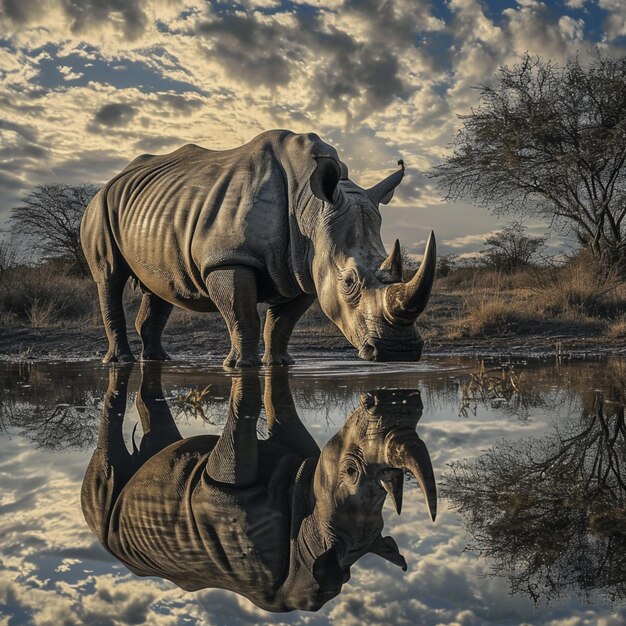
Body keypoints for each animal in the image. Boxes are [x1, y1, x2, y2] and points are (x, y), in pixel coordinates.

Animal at [80, 132, 434, 366]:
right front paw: (240, 366)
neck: (310, 208)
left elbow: (282, 323)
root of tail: (114, 180)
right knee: (108, 277)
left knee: (161, 284)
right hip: (99, 206)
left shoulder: (304, 269)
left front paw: (280, 363)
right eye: (348, 281)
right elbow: (242, 314)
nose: (399, 352)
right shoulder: (229, 259)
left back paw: (159, 360)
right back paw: (121, 362)